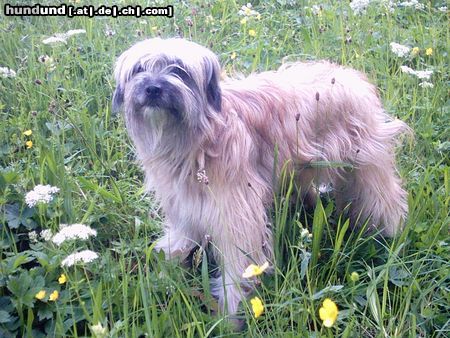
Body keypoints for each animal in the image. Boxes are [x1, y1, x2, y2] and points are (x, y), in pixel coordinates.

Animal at [111, 38, 408, 318]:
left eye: (179, 70)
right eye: (139, 69)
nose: (153, 88)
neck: (200, 139)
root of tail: (351, 77)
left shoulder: (237, 218)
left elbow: (238, 269)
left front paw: (229, 315)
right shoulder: (183, 204)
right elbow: (180, 238)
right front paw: (166, 271)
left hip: (366, 170)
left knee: (386, 200)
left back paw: (392, 237)